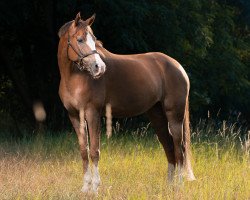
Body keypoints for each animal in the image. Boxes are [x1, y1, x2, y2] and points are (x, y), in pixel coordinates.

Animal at [58, 12, 195, 192]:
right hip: (157, 116)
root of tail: (178, 66)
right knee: (169, 147)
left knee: (179, 149)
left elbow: (94, 151)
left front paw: (95, 188)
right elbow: (83, 150)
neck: (74, 77)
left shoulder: (92, 113)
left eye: (94, 39)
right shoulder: (74, 116)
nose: (99, 67)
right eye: (80, 39)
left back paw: (178, 185)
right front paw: (85, 187)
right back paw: (169, 185)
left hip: (175, 116)